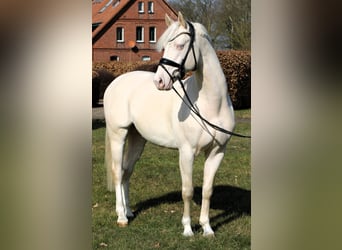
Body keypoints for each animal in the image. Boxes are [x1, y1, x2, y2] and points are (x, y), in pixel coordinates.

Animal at [103, 12, 235, 236]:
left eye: (181, 45)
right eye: (165, 46)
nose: (160, 81)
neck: (211, 105)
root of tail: (115, 82)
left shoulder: (217, 152)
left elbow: (207, 190)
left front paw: (207, 228)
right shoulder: (187, 152)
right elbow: (187, 191)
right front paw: (188, 229)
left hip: (137, 138)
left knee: (127, 172)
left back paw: (129, 212)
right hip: (118, 135)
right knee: (117, 172)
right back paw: (121, 217)